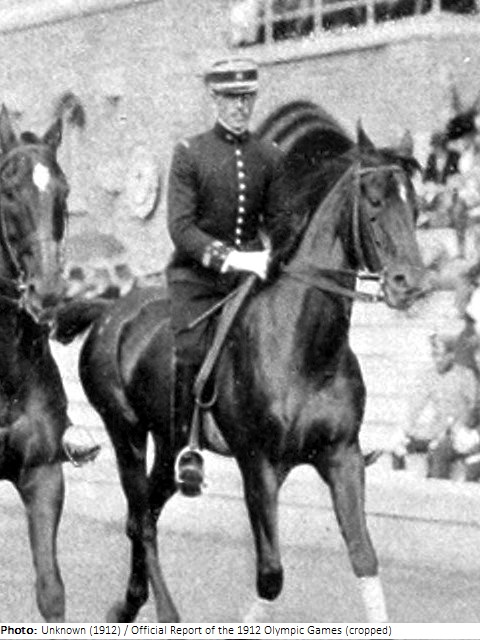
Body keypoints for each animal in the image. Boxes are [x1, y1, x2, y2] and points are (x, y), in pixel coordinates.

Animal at [54, 123, 426, 622]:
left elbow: (364, 556)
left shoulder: (342, 456)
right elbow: (270, 576)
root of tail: (111, 308)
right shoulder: (259, 466)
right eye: (374, 200)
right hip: (125, 432)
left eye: (416, 205)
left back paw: (130, 604)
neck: (305, 349)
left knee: (143, 514)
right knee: (141, 519)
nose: (412, 284)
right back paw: (165, 612)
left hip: (169, 440)